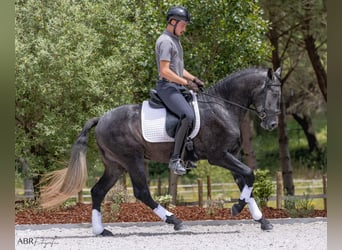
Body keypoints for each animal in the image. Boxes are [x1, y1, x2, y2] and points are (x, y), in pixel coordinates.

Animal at [40, 66, 280, 236]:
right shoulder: (218, 156)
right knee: (141, 192)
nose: (272, 125)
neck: (222, 107)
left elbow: (245, 181)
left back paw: (101, 230)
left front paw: (262, 220)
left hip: (115, 165)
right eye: (273, 93)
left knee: (98, 191)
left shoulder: (232, 155)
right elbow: (249, 174)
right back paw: (175, 221)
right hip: (133, 160)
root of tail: (101, 119)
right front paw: (237, 208)